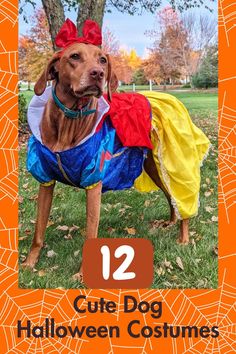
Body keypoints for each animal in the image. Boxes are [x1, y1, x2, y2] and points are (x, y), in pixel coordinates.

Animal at [21, 42, 188, 280]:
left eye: (102, 60)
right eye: (74, 56)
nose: (98, 73)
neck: (69, 120)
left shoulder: (94, 183)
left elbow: (90, 233)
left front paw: (82, 275)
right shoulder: (44, 179)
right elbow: (38, 230)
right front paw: (29, 263)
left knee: (181, 198)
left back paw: (184, 237)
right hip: (153, 167)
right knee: (170, 197)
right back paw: (171, 222)